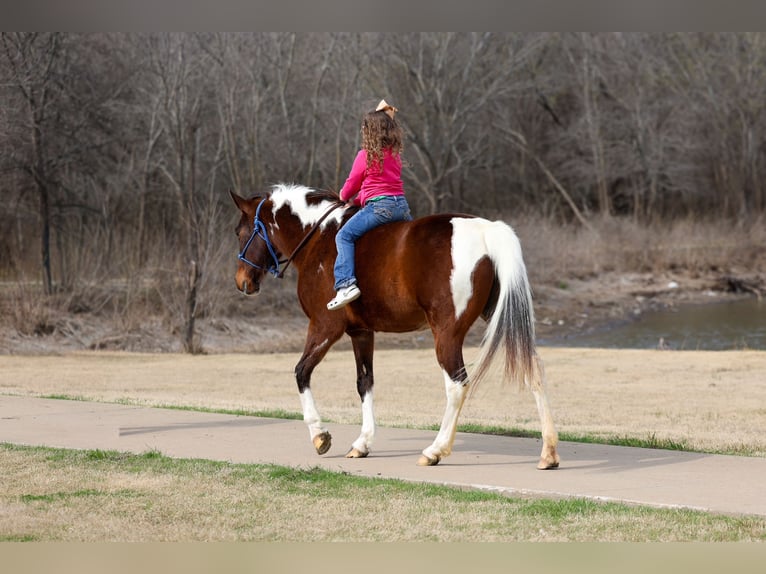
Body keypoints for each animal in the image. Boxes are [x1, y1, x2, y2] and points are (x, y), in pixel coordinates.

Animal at [230, 183, 559, 469]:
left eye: (240, 231)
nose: (242, 281)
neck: (319, 237)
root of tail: (486, 230)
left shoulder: (324, 327)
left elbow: (302, 372)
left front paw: (319, 435)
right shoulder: (361, 332)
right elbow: (365, 382)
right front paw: (362, 443)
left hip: (447, 334)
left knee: (456, 385)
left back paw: (435, 449)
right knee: (533, 370)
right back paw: (549, 452)